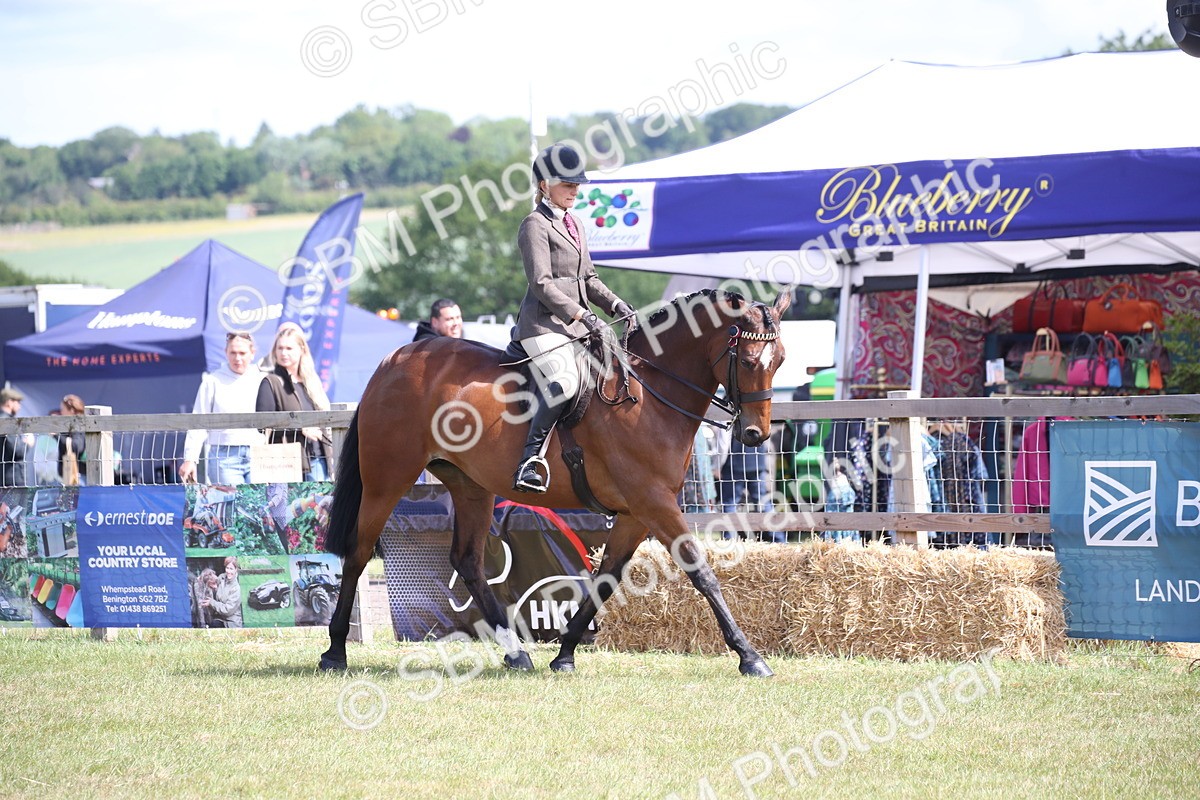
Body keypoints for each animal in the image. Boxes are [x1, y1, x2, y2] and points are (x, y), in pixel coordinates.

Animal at [321, 288, 791, 676]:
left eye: (781, 361)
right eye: (749, 361)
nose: (756, 435)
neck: (648, 397)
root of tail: (396, 359)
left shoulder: (635, 513)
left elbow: (606, 577)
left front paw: (564, 653)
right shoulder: (654, 503)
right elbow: (701, 571)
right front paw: (750, 656)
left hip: (471, 486)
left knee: (468, 561)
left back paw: (516, 653)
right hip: (386, 479)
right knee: (358, 552)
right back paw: (335, 651)